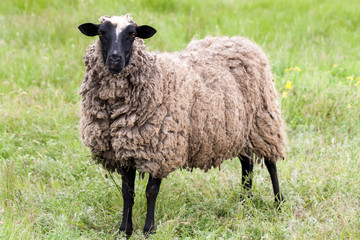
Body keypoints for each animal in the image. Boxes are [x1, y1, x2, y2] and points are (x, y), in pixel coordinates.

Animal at [77, 14, 286, 236]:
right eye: (101, 33)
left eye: (132, 34)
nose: (115, 59)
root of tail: (241, 40)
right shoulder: (123, 151)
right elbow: (128, 192)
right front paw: (124, 230)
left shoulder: (160, 151)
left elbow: (151, 192)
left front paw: (149, 229)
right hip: (239, 130)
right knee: (247, 164)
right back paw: (244, 201)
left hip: (263, 122)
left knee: (271, 164)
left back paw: (278, 202)